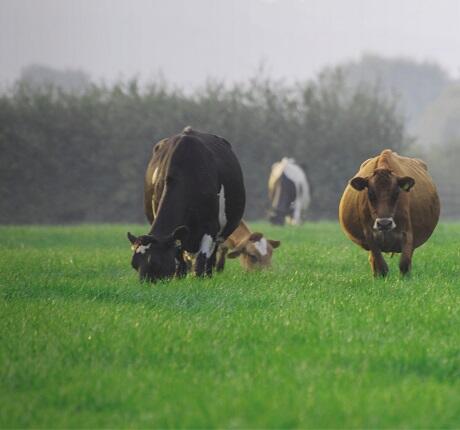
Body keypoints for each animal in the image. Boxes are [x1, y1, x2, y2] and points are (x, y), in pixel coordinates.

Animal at [127, 127, 246, 282]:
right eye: (134, 264)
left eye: (155, 262)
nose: (144, 283)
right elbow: (179, 257)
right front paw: (179, 278)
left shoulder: (210, 226)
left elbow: (202, 259)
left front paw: (200, 279)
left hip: (220, 233)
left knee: (211, 256)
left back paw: (208, 275)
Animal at [340, 149, 440, 278]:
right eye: (370, 194)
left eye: (396, 193)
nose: (384, 223)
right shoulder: (370, 236)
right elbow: (381, 265)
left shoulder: (407, 234)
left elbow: (404, 263)